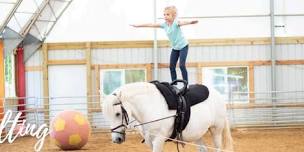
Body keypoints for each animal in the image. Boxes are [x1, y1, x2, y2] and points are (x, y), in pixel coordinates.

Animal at [102, 82, 233, 152]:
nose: (117, 139)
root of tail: (217, 94)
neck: (150, 106)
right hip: (198, 133)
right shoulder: (150, 142)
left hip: (216, 131)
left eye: (117, 114)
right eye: (107, 116)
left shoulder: (159, 140)